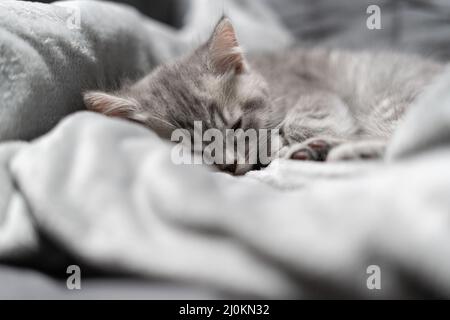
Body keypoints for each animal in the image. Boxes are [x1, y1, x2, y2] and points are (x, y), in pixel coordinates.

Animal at [83, 16, 442, 175]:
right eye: (192, 147)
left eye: (237, 125)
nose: (230, 165)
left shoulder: (313, 92)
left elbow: (299, 123)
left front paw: (278, 143)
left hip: (387, 99)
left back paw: (337, 151)